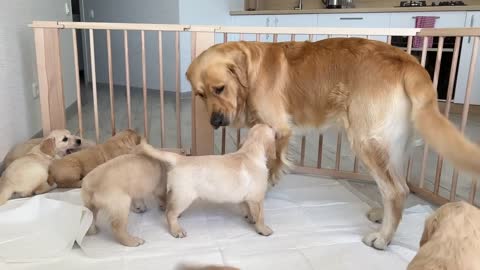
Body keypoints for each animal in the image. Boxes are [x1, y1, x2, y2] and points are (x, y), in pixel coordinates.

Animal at [137, 124, 276, 238]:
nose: (275, 127)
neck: (250, 151)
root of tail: (180, 159)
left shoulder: (247, 198)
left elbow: (247, 208)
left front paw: (250, 218)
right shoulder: (257, 198)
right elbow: (261, 216)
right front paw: (263, 229)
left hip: (177, 194)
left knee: (169, 205)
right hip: (184, 196)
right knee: (169, 214)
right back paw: (177, 230)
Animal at [185, 38, 480, 249]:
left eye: (220, 88)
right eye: (200, 95)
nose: (215, 121)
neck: (251, 73)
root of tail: (409, 61)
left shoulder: (278, 129)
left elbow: (270, 170)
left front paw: (253, 206)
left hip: (365, 139)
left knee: (395, 190)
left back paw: (382, 238)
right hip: (392, 145)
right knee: (401, 187)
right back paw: (381, 216)